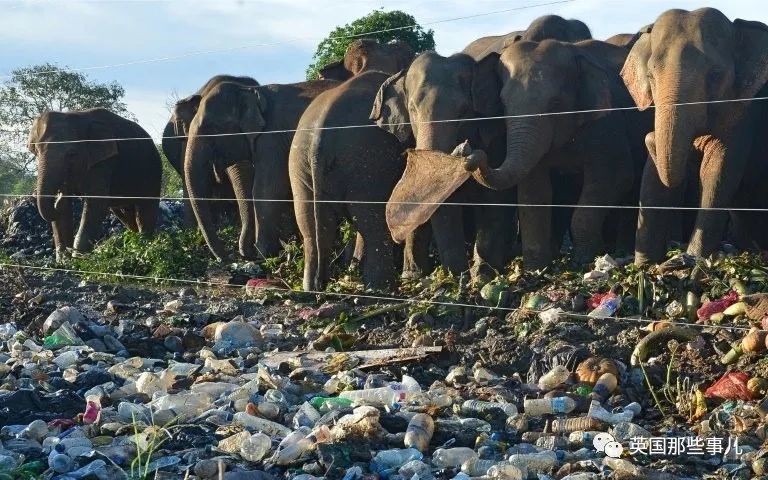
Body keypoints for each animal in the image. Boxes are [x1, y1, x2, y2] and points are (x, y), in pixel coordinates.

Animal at [28, 108, 162, 260]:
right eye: (36, 151)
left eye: (71, 154)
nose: (59, 194)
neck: (76, 115)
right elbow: (65, 210)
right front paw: (64, 260)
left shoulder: (104, 161)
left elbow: (96, 204)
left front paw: (78, 258)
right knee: (125, 214)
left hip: (152, 172)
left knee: (145, 210)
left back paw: (144, 244)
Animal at [288, 40, 414, 288]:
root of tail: (318, 140)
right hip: (366, 163)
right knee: (374, 224)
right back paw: (382, 288)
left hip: (299, 165)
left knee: (310, 226)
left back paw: (313, 287)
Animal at [462, 39, 656, 268]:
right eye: (503, 103)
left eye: (555, 103)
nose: (469, 152)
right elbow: (533, 191)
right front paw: (535, 268)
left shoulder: (607, 125)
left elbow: (616, 177)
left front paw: (582, 261)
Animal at [620, 7, 768, 264]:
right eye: (650, 77)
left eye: (716, 75)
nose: (649, 137)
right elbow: (652, 175)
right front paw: (644, 265)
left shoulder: (744, 111)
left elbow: (716, 170)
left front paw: (693, 260)